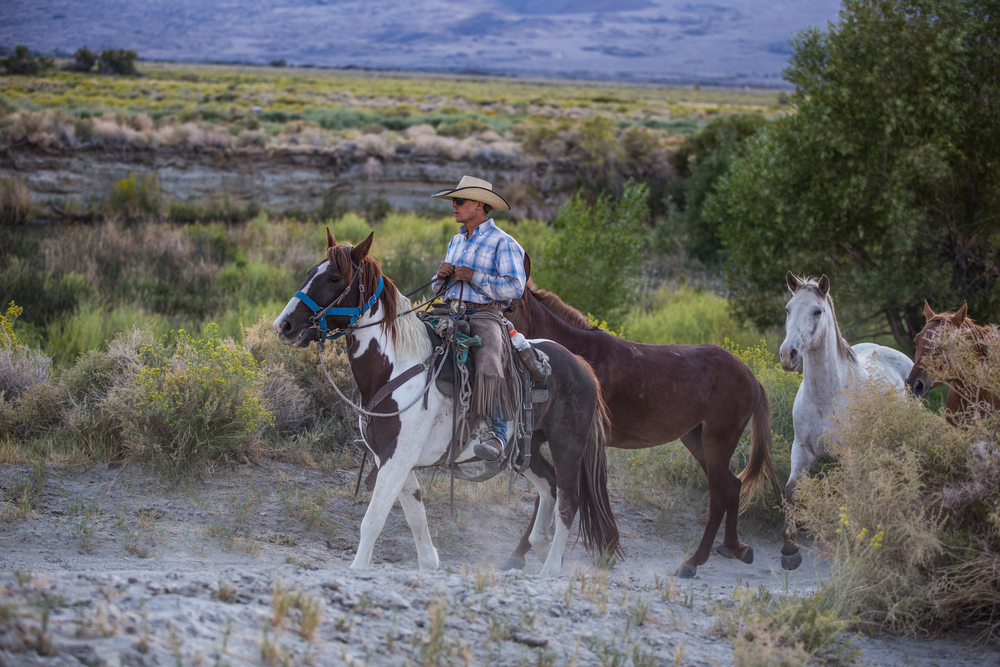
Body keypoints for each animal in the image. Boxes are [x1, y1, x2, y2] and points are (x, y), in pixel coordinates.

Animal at [504, 280, 776, 576]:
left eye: (511, 307)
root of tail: (751, 376)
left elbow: (562, 491)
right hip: (697, 440)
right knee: (733, 486)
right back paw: (736, 548)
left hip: (718, 441)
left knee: (719, 496)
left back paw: (693, 562)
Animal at [780, 274, 916, 572]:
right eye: (788, 308)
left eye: (817, 311)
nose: (788, 354)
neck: (826, 397)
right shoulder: (802, 449)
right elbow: (792, 490)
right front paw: (790, 551)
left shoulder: (850, 456)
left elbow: (847, 497)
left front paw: (847, 545)